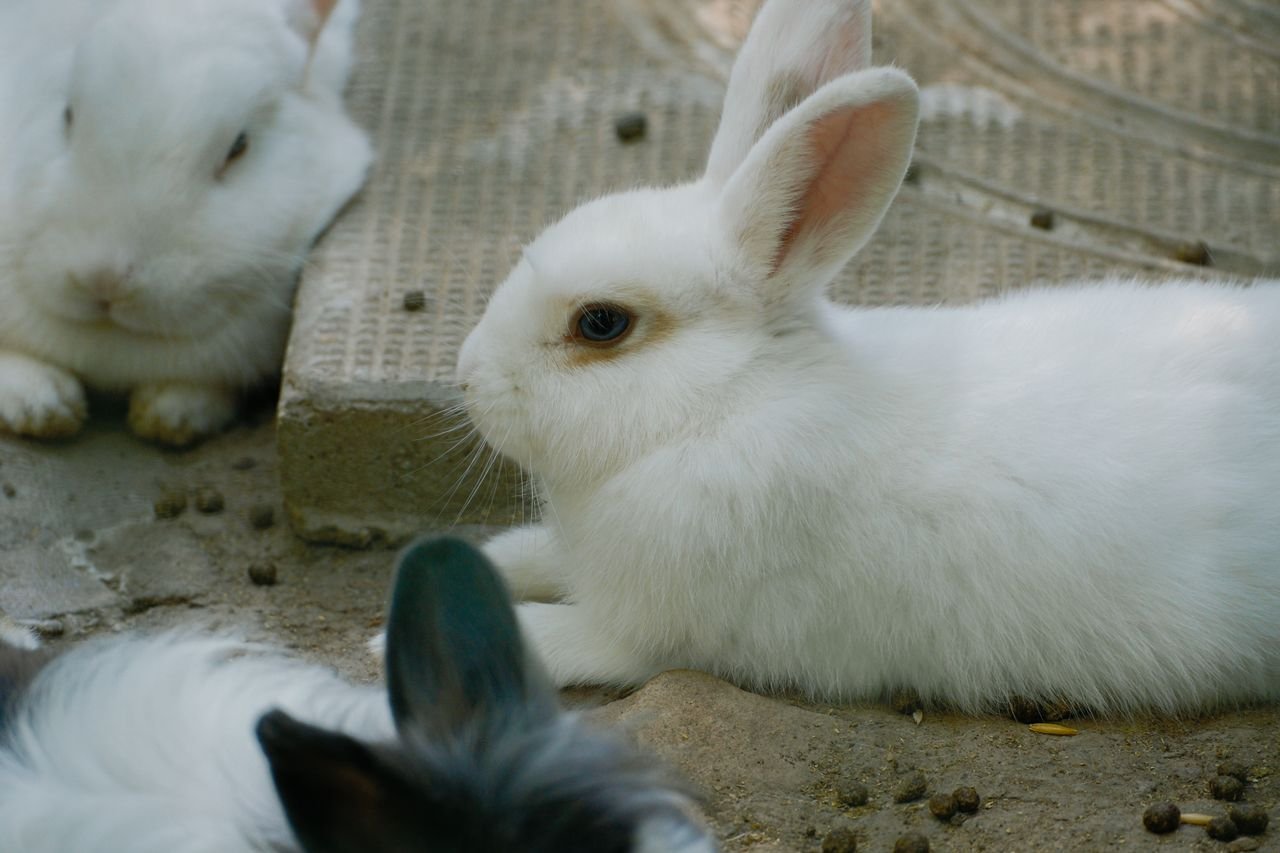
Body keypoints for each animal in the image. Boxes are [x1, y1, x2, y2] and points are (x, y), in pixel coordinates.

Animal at [453, 0, 1280, 716]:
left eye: (601, 323)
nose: (466, 378)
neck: (726, 404)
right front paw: (495, 555)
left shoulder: (652, 631)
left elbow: (569, 640)